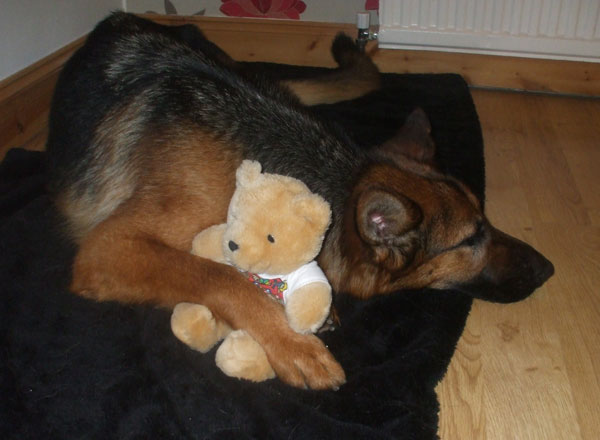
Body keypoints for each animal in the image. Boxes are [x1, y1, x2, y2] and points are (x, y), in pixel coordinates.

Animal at [45, 13, 552, 390]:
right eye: (470, 240)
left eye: (486, 223)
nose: (548, 269)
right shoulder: (108, 248)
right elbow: (220, 277)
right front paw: (291, 344)